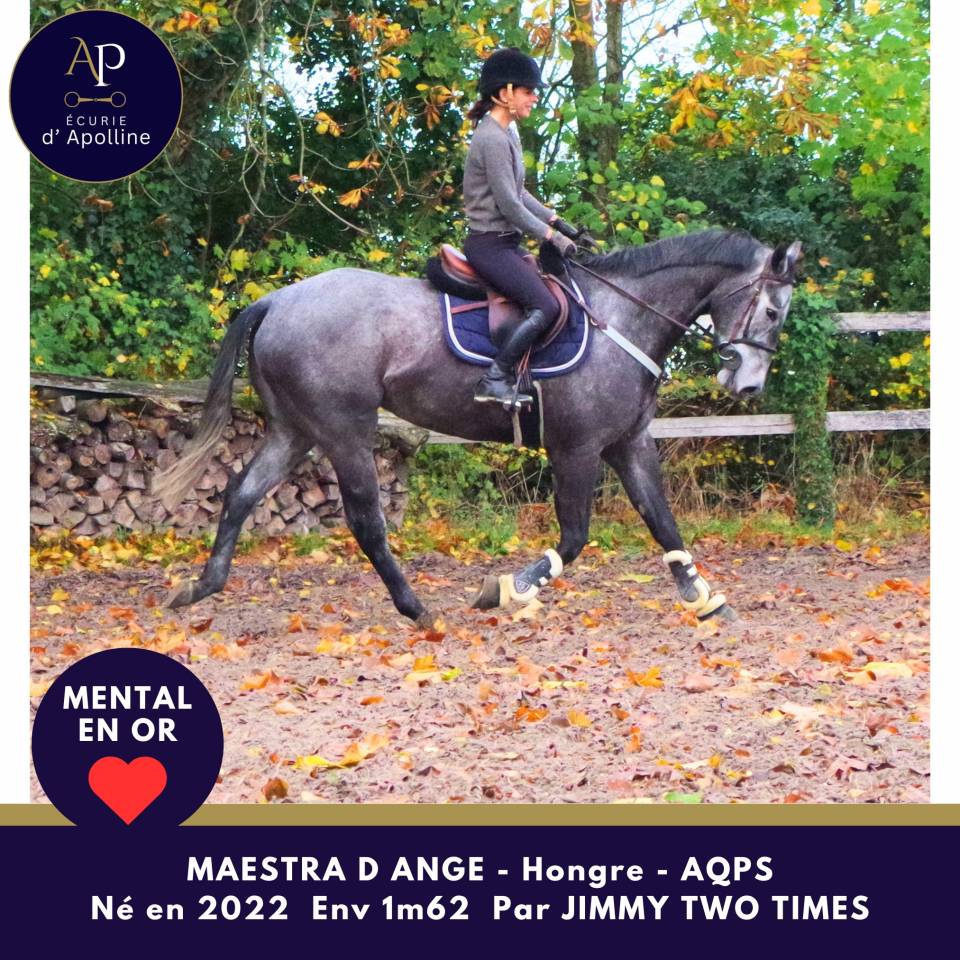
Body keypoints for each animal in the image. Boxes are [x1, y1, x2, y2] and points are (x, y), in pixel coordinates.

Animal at [154, 229, 802, 625]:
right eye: (773, 311)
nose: (748, 387)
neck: (621, 319)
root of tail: (277, 301)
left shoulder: (628, 443)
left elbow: (662, 521)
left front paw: (703, 598)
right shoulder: (578, 448)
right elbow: (574, 537)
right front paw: (510, 589)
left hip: (296, 430)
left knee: (241, 492)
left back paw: (200, 586)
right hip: (343, 430)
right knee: (366, 520)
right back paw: (416, 609)